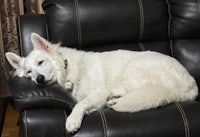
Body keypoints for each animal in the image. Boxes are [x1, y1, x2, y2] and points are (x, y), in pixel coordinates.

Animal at [5, 33, 198, 133]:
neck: (68, 70)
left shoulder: (98, 93)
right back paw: (114, 100)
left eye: (41, 62)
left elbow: (80, 104)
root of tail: (190, 87)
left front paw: (72, 120)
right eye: (29, 72)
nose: (39, 80)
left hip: (134, 67)